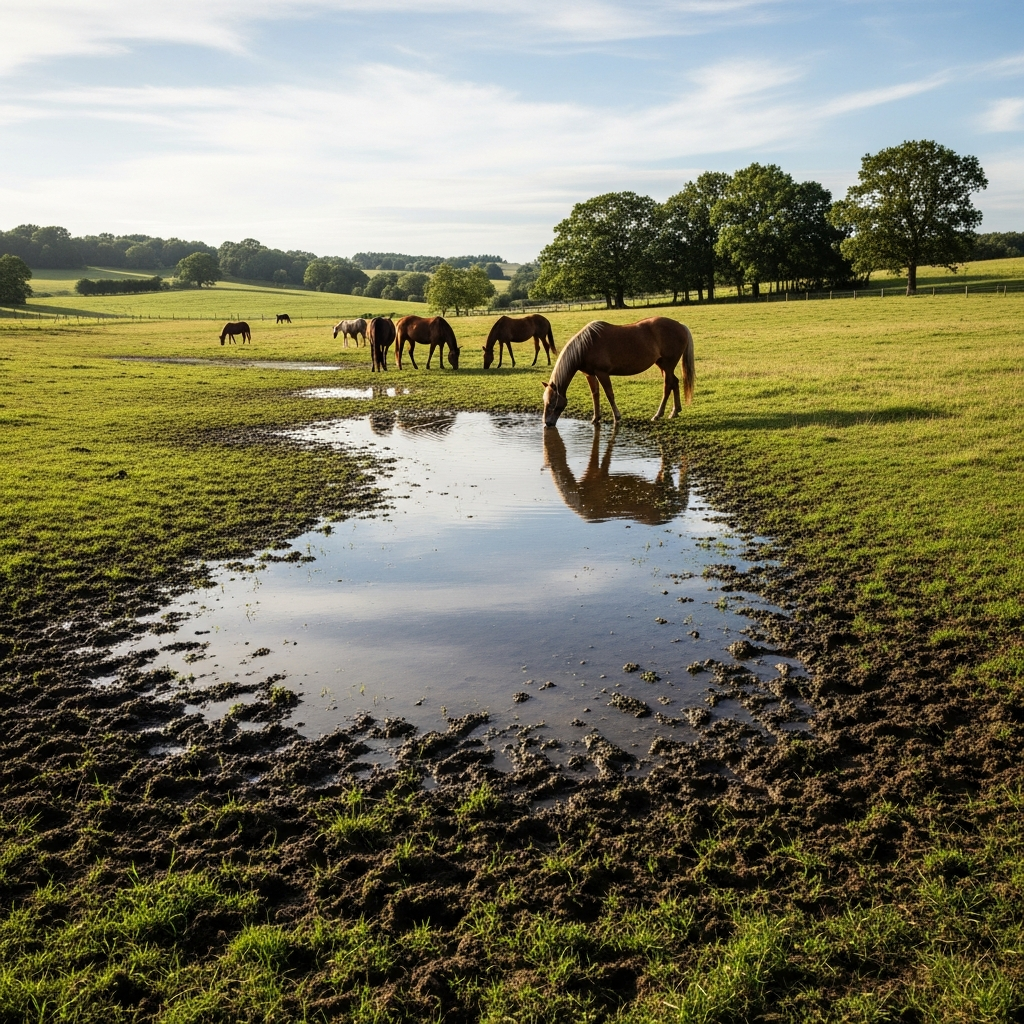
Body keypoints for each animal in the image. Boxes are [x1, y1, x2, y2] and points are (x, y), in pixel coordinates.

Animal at [542, 317, 694, 426]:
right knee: (674, 382)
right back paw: (675, 411)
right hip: (662, 365)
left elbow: (609, 394)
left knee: (667, 386)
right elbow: (595, 394)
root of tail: (680, 326)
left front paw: (617, 417)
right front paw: (595, 418)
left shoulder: (602, 373)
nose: (547, 423)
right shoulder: (590, 374)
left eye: (551, 403)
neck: (585, 345)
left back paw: (658, 415)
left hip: (667, 365)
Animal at [543, 425, 688, 526]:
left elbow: (606, 455)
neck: (579, 496)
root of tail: (674, 512)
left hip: (663, 488)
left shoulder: (599, 474)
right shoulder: (593, 472)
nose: (547, 425)